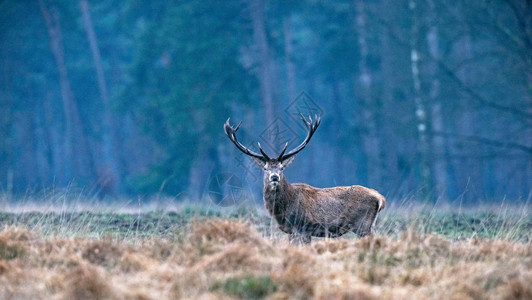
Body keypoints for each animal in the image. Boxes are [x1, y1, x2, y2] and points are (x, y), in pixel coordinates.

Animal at [222, 115, 384, 244]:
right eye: (265, 168)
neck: (283, 209)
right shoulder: (293, 231)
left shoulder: (303, 227)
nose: (274, 177)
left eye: (282, 168)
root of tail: (380, 198)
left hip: (362, 224)